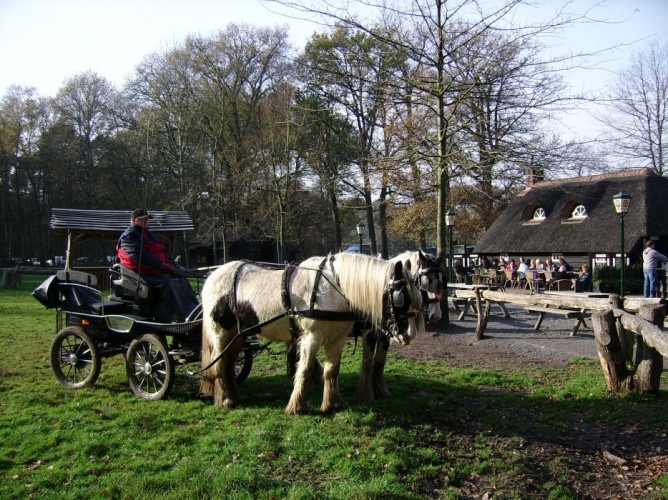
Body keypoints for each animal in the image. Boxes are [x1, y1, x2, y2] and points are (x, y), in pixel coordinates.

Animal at [198, 254, 422, 414]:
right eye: (401, 296)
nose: (409, 335)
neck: (334, 289)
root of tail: (212, 277)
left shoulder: (337, 339)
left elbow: (332, 370)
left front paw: (333, 404)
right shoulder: (311, 338)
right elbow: (304, 370)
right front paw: (297, 407)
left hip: (238, 335)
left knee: (228, 364)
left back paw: (234, 397)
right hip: (220, 333)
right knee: (219, 364)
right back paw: (226, 400)